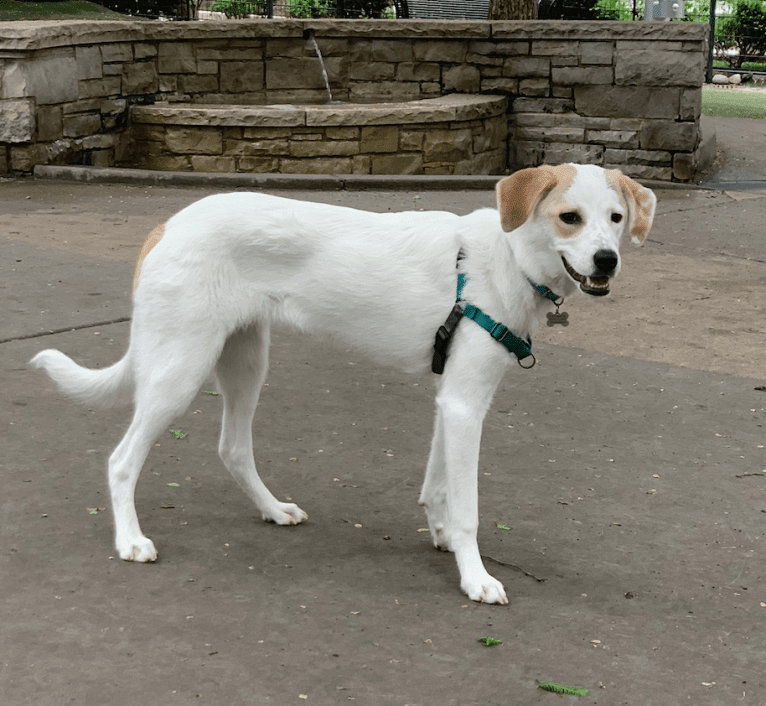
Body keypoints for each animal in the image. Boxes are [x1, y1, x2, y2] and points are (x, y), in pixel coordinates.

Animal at [28, 162, 656, 604]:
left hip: (246, 362)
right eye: (569, 217)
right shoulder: (465, 405)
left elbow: (438, 486)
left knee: (232, 448)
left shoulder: (452, 400)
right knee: (121, 460)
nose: (607, 261)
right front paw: (474, 576)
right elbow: (469, 508)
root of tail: (169, 224)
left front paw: (442, 535)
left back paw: (272, 508)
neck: (506, 255)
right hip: (178, 369)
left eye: (616, 219)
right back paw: (130, 541)